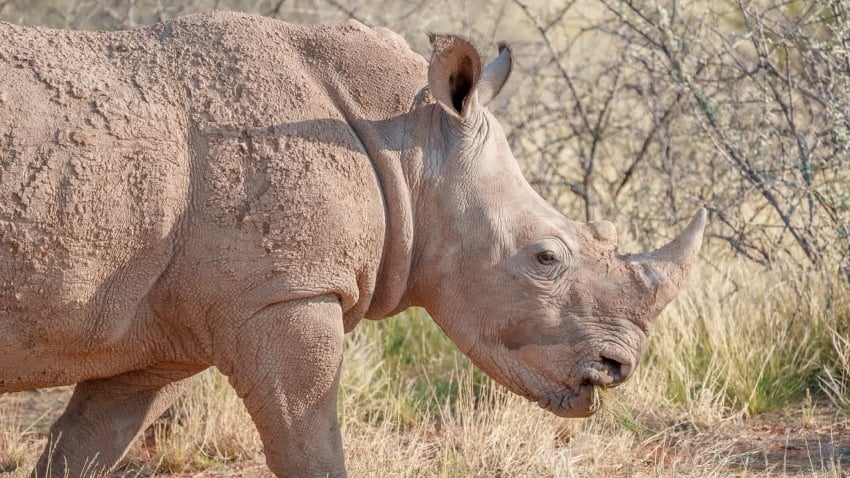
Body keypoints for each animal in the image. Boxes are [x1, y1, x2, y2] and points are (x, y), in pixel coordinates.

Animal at [0, 11, 706, 477]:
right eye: (546, 258)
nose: (619, 367)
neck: (409, 143)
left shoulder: (161, 331)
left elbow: (86, 444)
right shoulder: (285, 292)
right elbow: (309, 445)